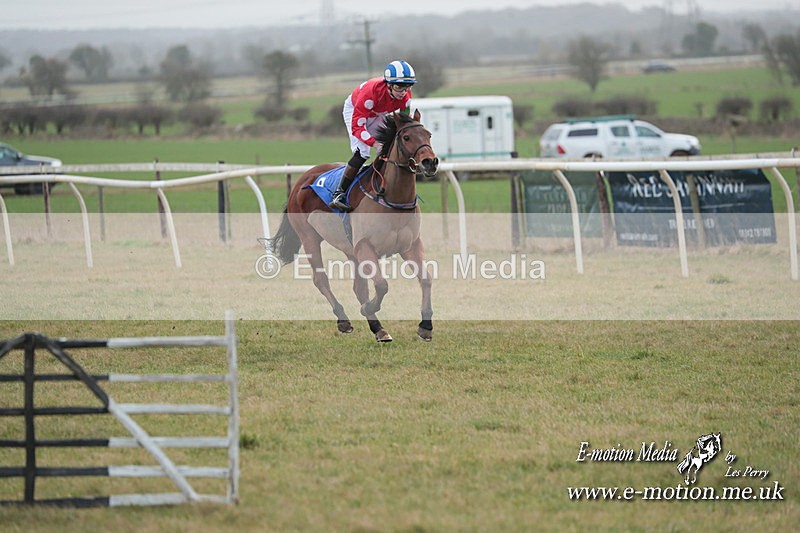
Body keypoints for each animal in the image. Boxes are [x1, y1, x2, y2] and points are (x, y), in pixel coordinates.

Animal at [270, 110, 439, 342]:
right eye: (406, 137)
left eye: (429, 135)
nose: (430, 162)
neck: (391, 200)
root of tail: (300, 182)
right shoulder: (365, 247)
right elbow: (382, 285)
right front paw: (368, 308)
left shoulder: (410, 246)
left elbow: (426, 279)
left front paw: (425, 326)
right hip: (309, 237)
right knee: (321, 280)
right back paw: (344, 320)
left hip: (350, 249)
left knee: (358, 287)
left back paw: (378, 328)